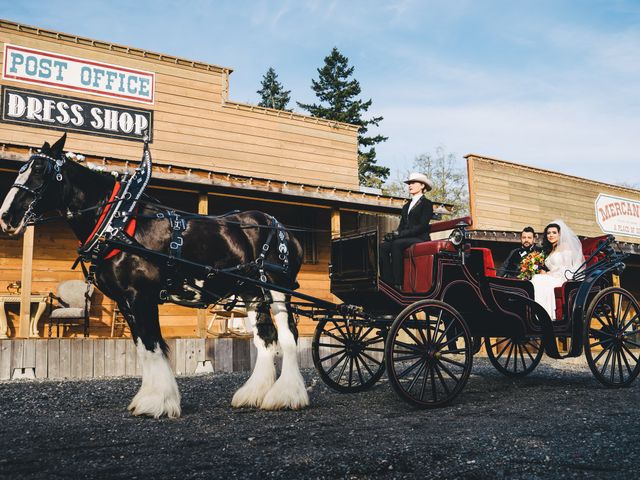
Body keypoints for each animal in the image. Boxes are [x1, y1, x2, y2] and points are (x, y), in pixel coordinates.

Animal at [0, 134, 308, 416]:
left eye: (40, 170)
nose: (6, 217)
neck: (118, 223)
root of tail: (282, 228)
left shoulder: (142, 296)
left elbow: (152, 345)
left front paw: (156, 402)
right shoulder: (125, 302)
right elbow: (143, 347)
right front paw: (150, 398)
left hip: (277, 289)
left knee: (288, 336)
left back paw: (287, 395)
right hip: (252, 292)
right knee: (265, 339)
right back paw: (254, 394)